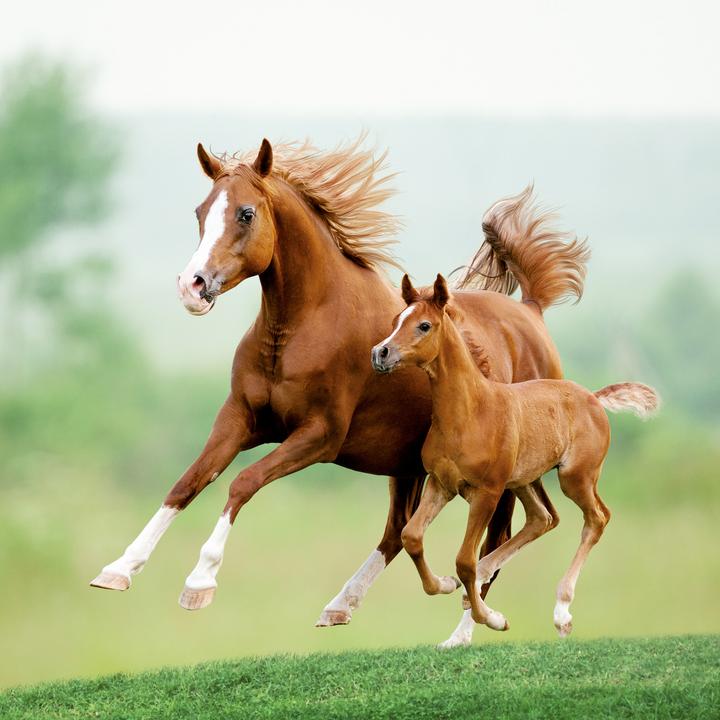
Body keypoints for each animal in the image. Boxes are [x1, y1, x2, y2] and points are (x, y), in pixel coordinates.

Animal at [90, 136, 589, 648]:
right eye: (200, 211)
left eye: (246, 213)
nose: (192, 286)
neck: (303, 325)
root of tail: (531, 312)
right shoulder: (240, 420)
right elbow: (188, 482)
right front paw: (119, 568)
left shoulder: (319, 436)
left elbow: (242, 482)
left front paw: (199, 582)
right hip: (407, 464)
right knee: (399, 532)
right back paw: (342, 604)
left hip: (500, 475)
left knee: (495, 539)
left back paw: (464, 631)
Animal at [372, 273, 659, 637]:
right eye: (397, 319)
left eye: (424, 325)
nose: (380, 353)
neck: (470, 412)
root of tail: (593, 398)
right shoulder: (441, 485)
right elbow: (412, 536)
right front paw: (446, 585)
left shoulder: (487, 493)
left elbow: (464, 560)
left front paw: (492, 618)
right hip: (524, 480)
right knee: (542, 518)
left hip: (574, 477)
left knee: (597, 518)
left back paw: (562, 611)